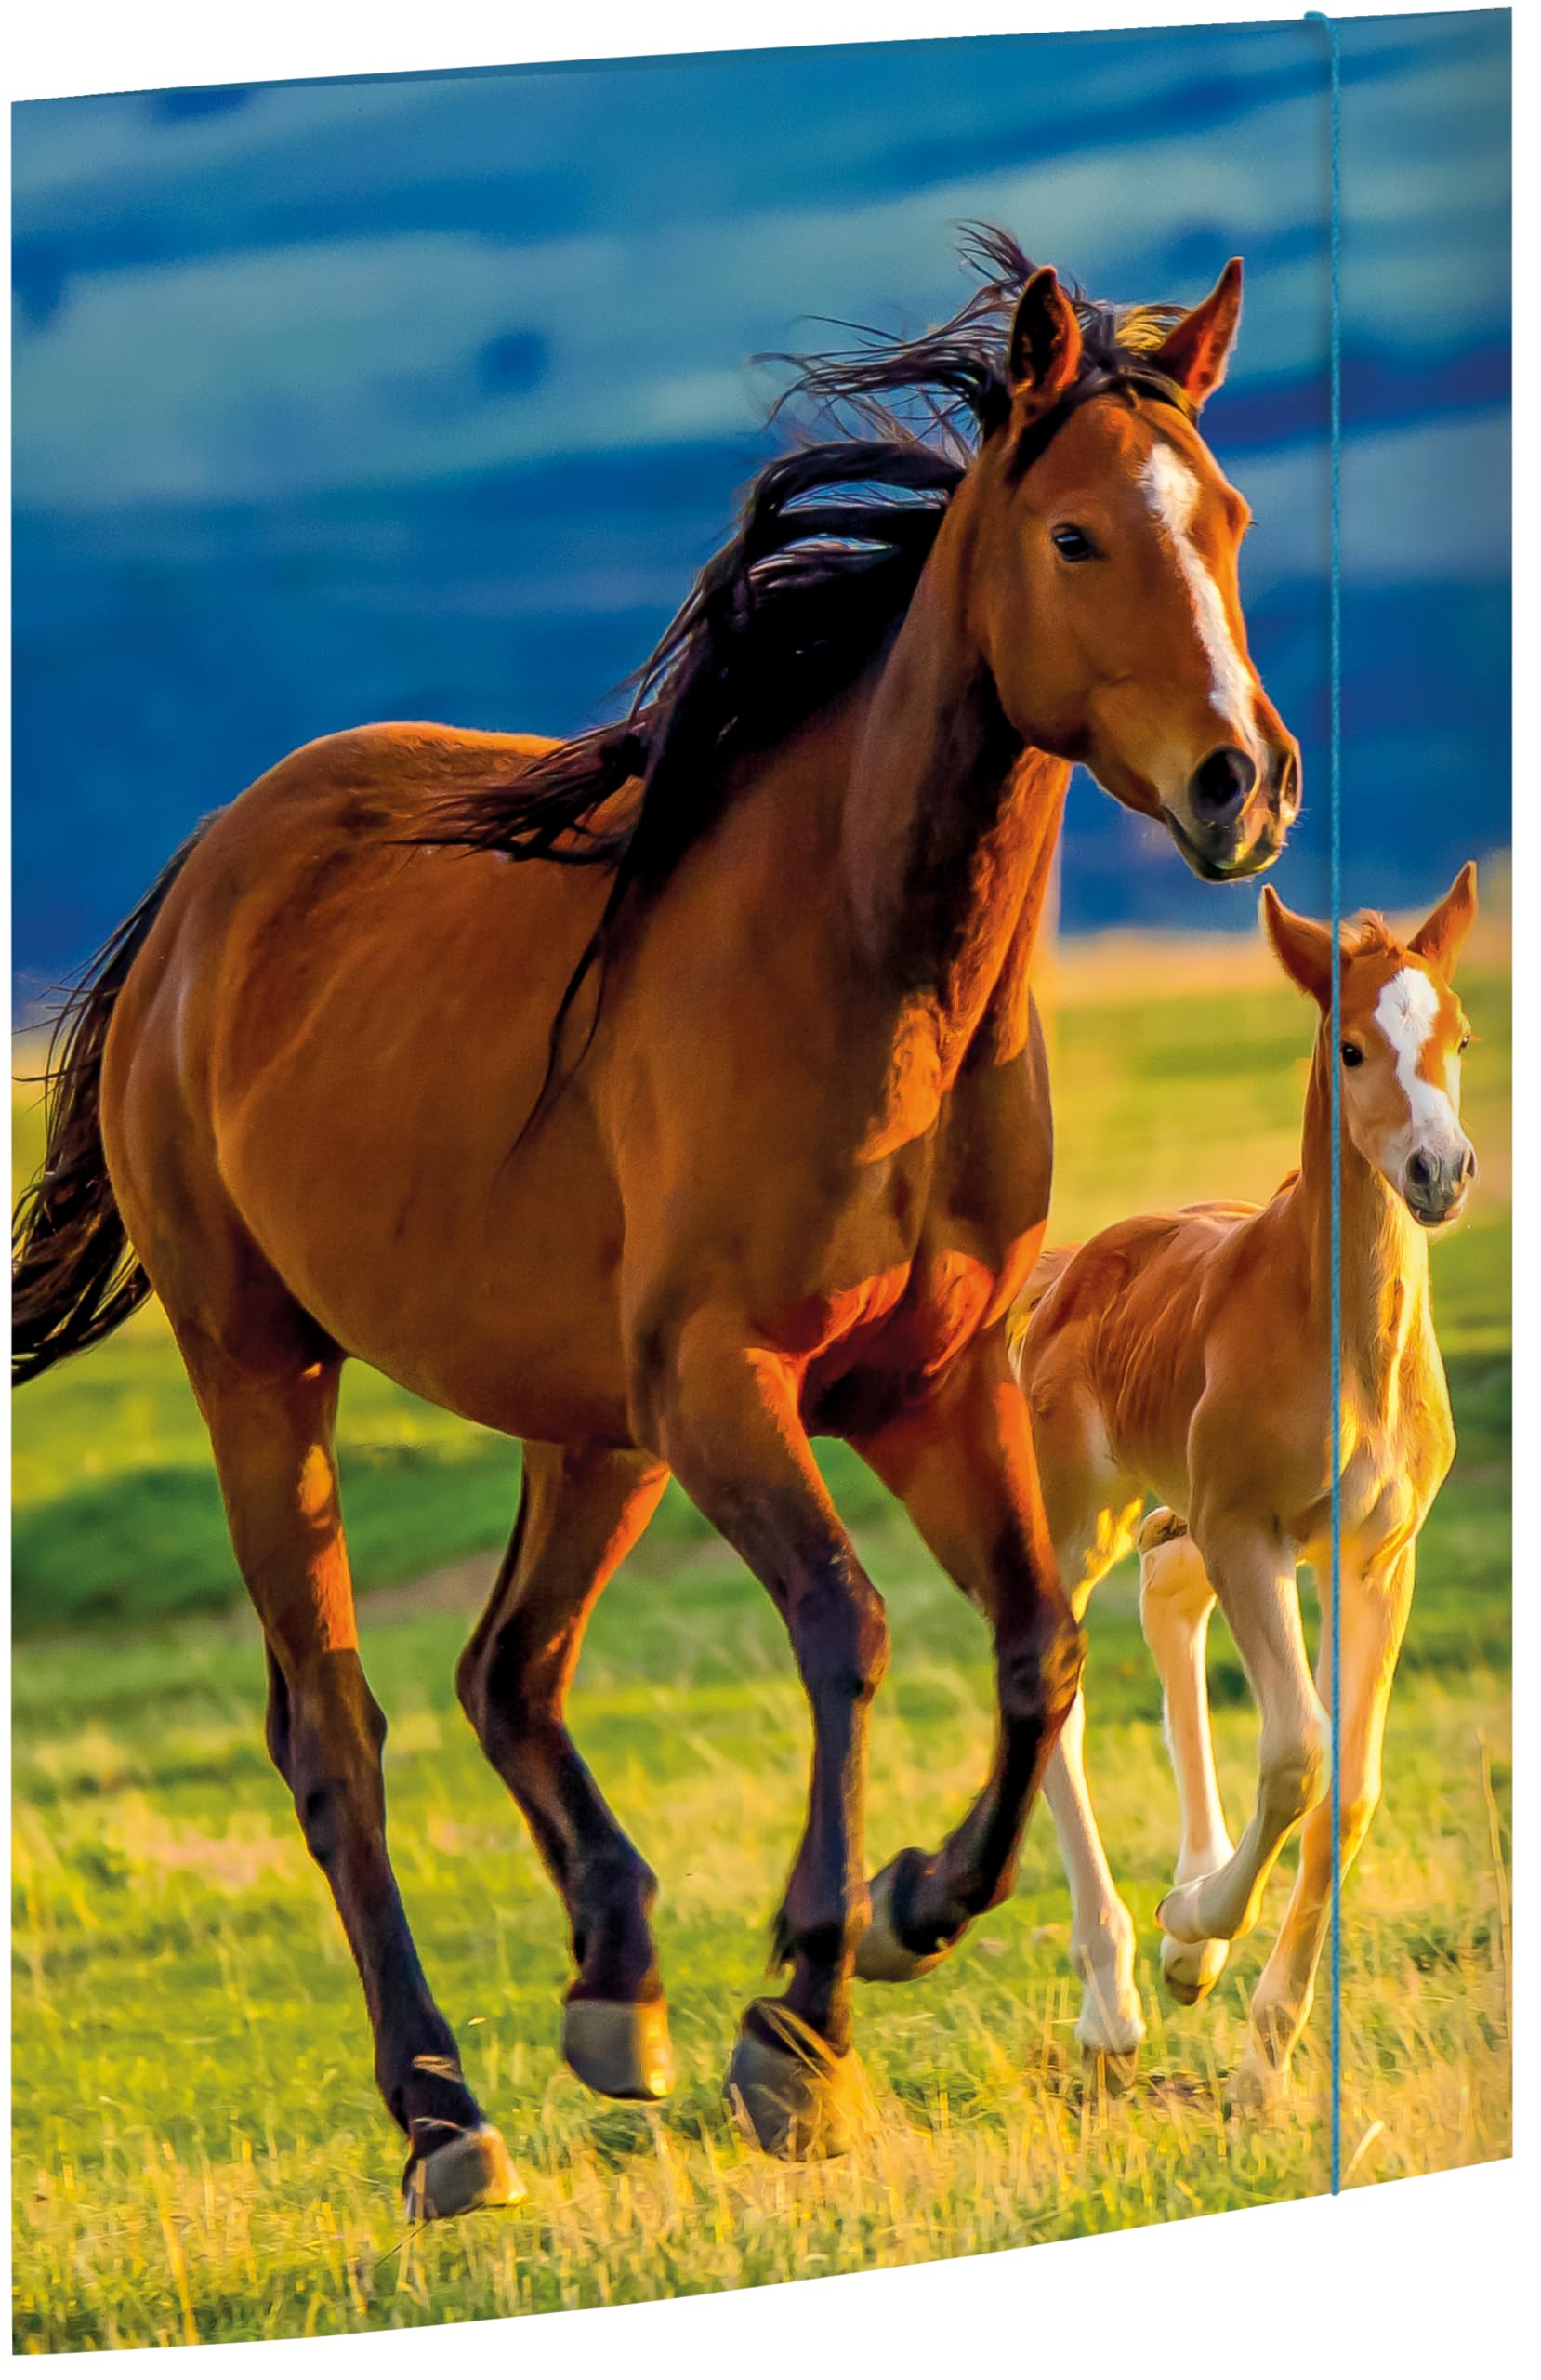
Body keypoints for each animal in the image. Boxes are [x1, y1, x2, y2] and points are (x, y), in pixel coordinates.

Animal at [13, 229, 1299, 2218]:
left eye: (1225, 516)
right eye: (1078, 536)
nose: (1244, 782)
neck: (864, 971)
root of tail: (203, 885)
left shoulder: (926, 1388)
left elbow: (1035, 1646)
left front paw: (911, 1911)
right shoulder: (726, 1386)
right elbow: (847, 1630)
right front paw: (804, 2022)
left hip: (585, 1424)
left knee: (507, 1671)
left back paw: (615, 1993)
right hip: (266, 1369)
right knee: (337, 1729)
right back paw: (444, 2117)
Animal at [1006, 868, 1477, 2104]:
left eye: (1458, 1035)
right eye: (1351, 1047)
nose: (1440, 1173)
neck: (1343, 1339)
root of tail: (1067, 1269)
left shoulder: (1374, 1556)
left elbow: (1347, 1789)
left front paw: (1261, 2060)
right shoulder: (1248, 1531)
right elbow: (1297, 1753)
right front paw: (1190, 1929)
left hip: (1179, 1520)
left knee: (1166, 1600)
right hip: (1082, 1517)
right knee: (1057, 1680)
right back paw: (1117, 1997)